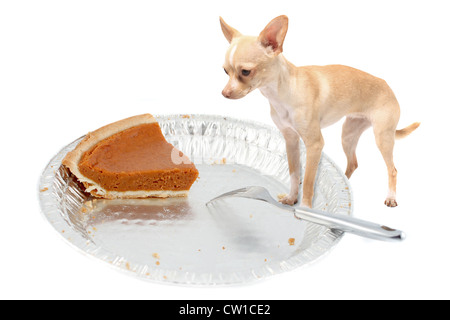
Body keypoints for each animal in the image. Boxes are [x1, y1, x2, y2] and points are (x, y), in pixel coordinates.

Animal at [220, 15, 420, 208]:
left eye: (246, 72)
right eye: (225, 71)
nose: (224, 93)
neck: (282, 92)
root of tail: (388, 87)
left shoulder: (315, 144)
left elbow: (309, 181)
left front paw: (305, 208)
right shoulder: (290, 140)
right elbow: (294, 174)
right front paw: (291, 197)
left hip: (382, 137)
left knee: (392, 169)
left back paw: (391, 197)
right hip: (348, 135)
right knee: (353, 163)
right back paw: (346, 182)